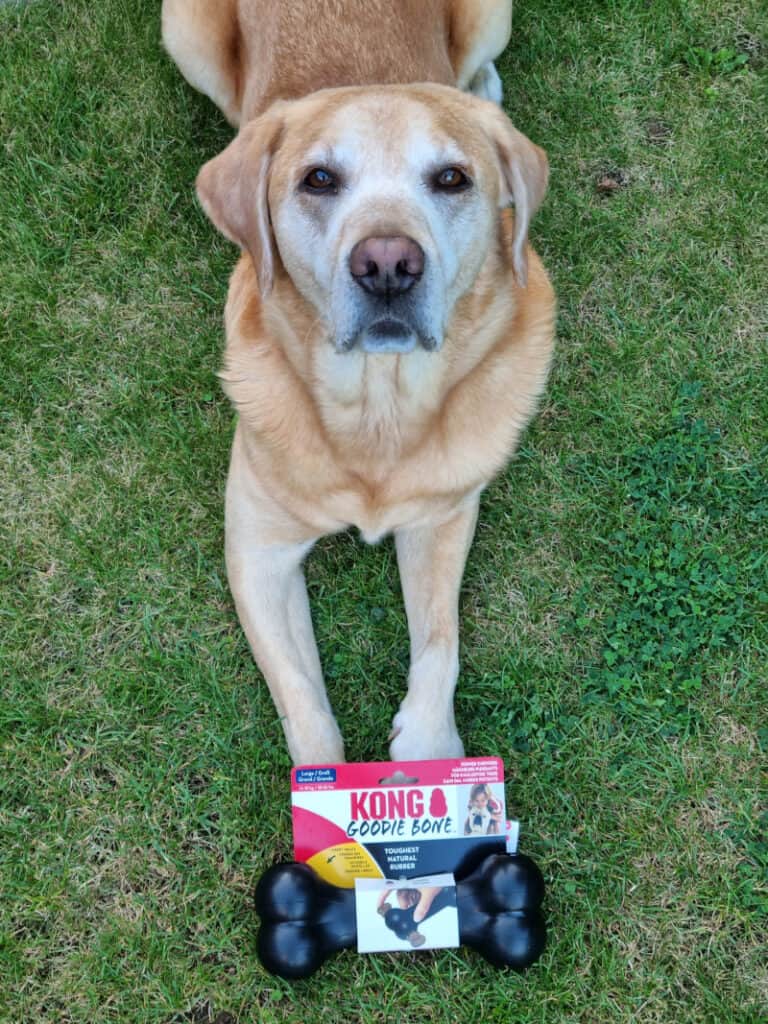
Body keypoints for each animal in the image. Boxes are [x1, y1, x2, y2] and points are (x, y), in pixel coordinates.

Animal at [163, 0, 561, 765]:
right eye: (318, 180)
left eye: (452, 178)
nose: (387, 265)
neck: (379, 407)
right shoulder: (257, 551)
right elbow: (304, 702)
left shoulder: (442, 518)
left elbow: (440, 642)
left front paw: (430, 748)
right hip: (184, 33)